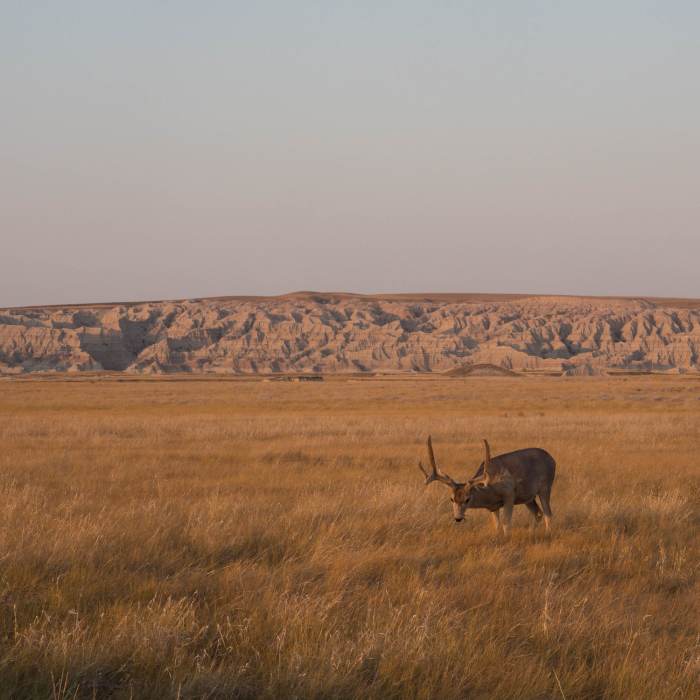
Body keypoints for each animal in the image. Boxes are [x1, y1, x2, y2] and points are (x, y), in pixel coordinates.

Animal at [418, 436, 555, 536]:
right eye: (451, 499)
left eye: (467, 499)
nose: (458, 518)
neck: (490, 490)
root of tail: (552, 459)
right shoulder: (494, 507)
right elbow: (497, 525)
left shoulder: (509, 495)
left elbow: (506, 523)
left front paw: (507, 538)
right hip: (528, 497)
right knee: (538, 513)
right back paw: (531, 534)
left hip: (545, 487)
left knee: (548, 514)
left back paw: (548, 534)